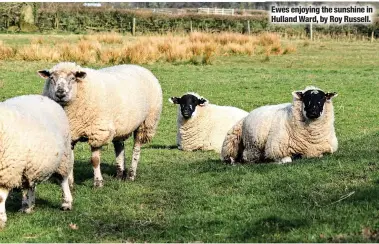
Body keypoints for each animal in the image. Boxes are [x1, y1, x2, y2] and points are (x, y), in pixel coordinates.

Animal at [0, 94, 74, 228]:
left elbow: (1, 198)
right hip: (31, 165)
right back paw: (28, 206)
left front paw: (1, 220)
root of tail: (42, 97)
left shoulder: (8, 171)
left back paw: (67, 203)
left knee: (63, 179)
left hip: (64, 156)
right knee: (30, 185)